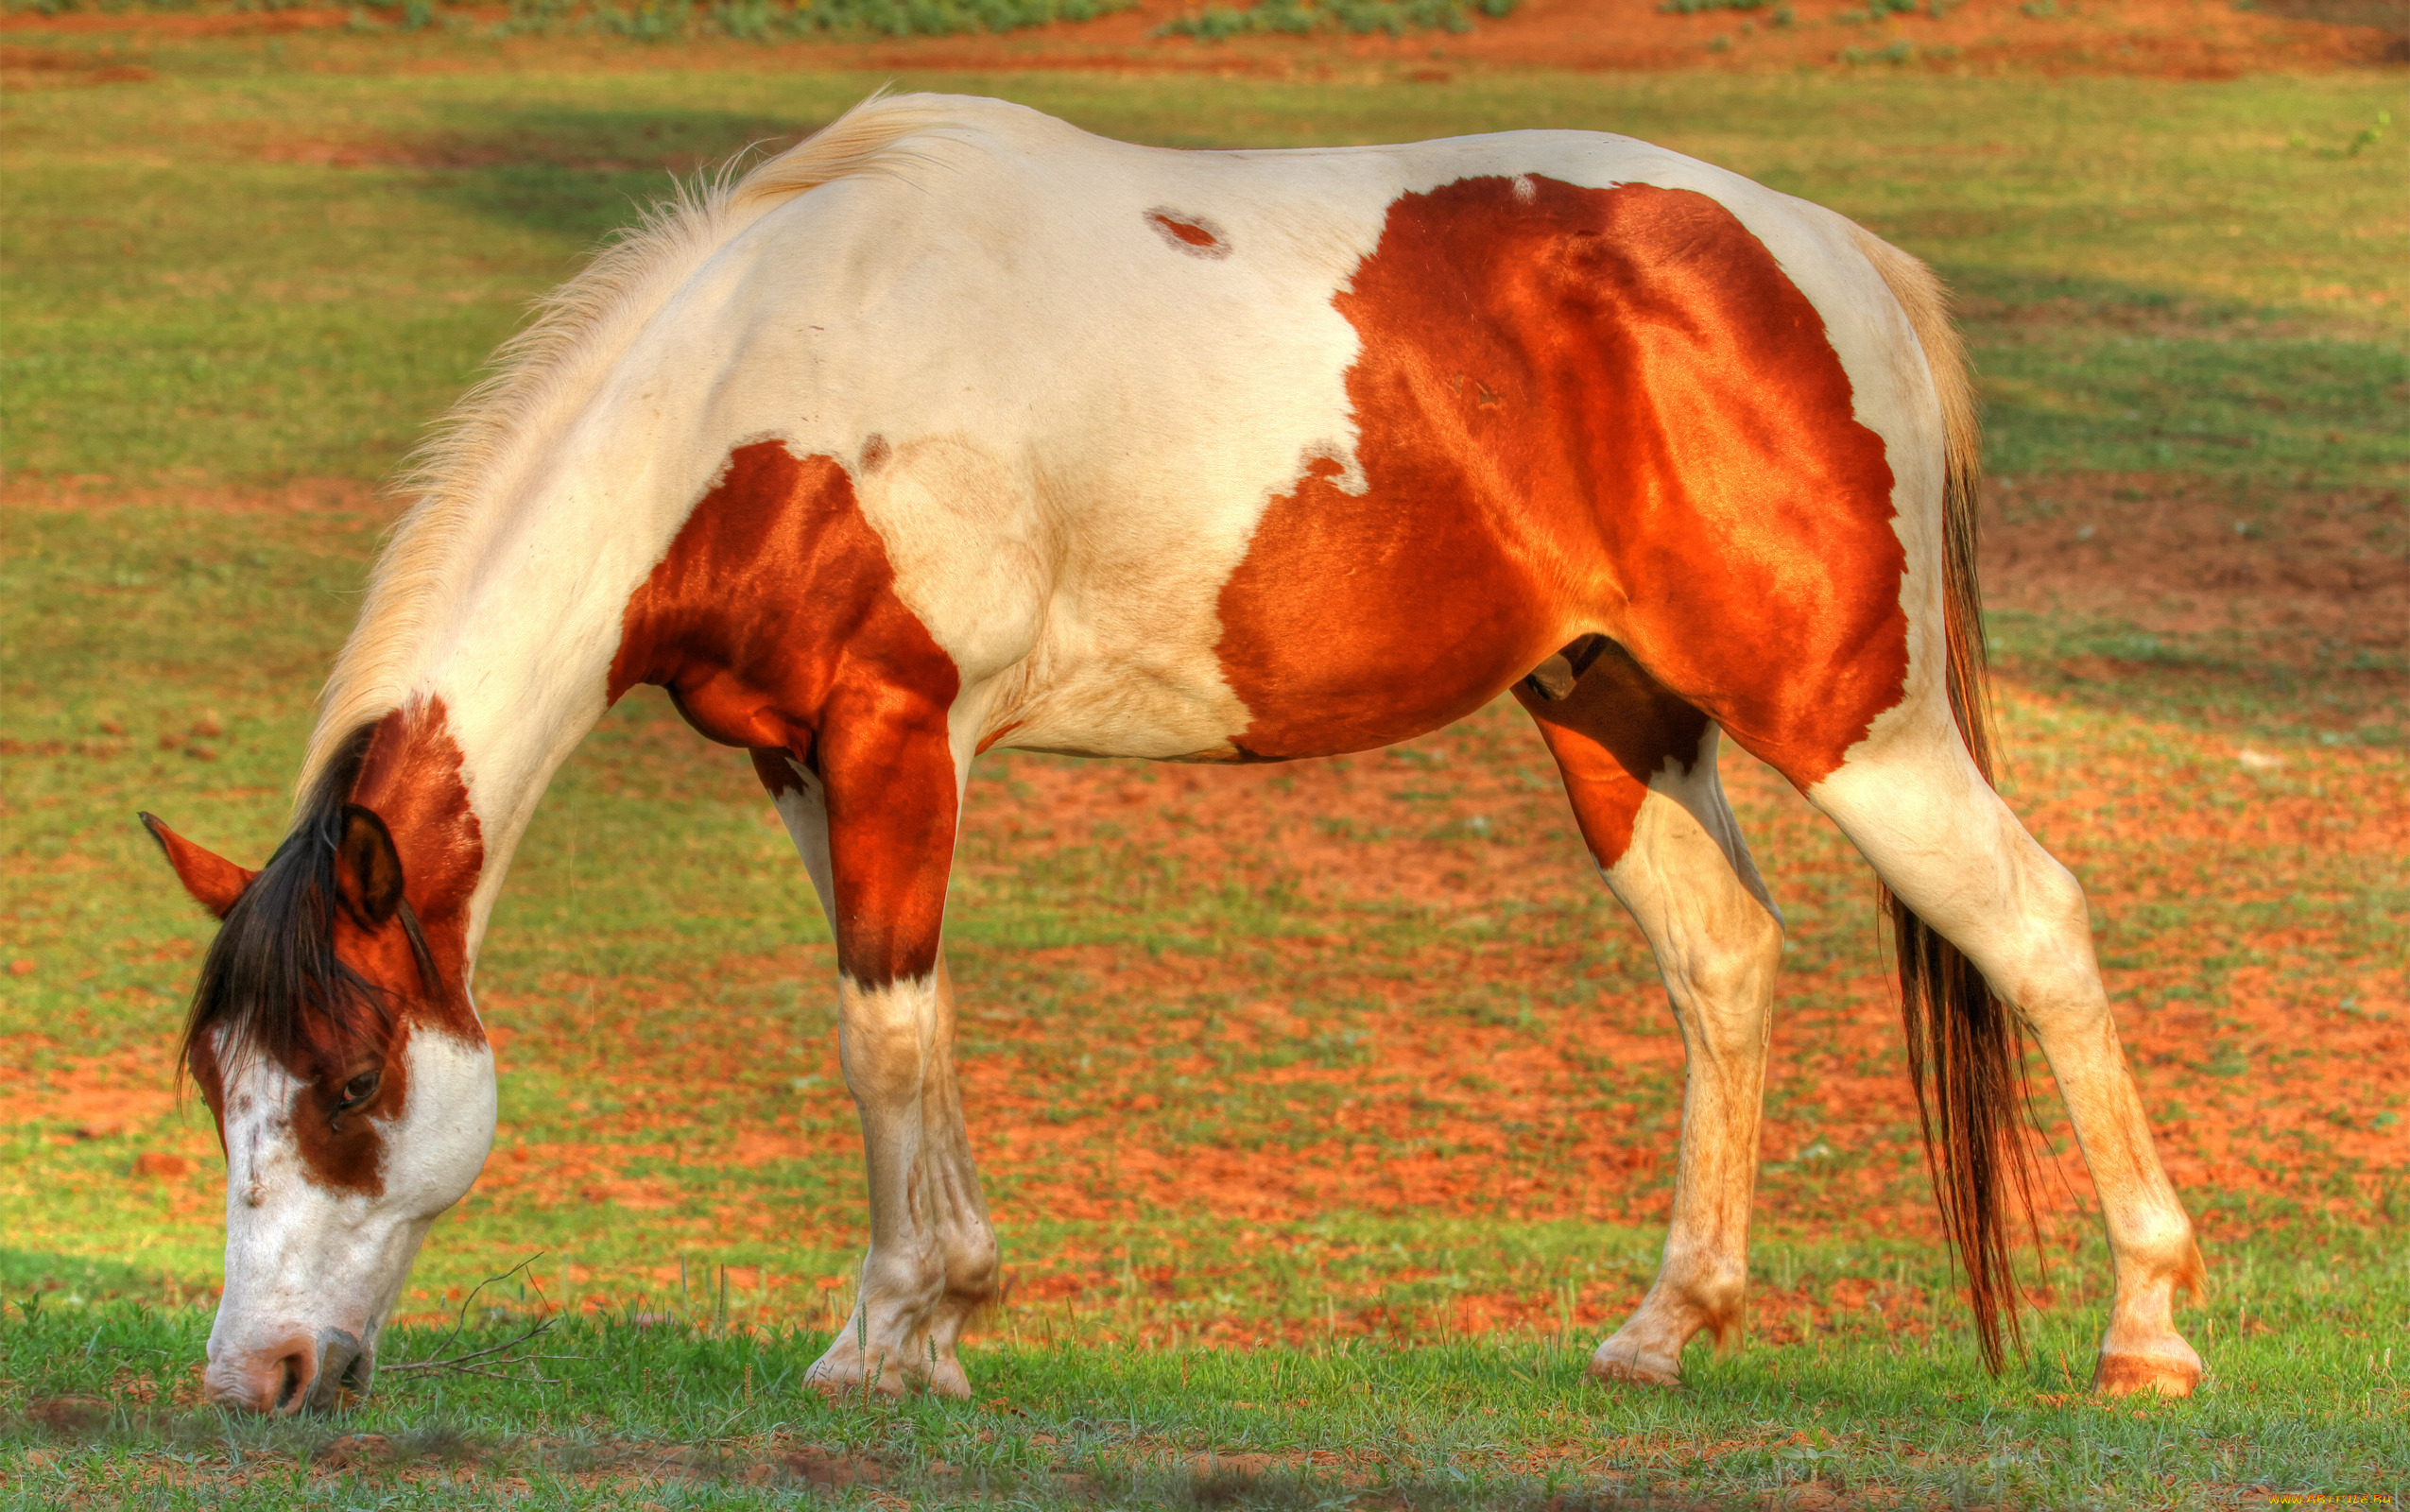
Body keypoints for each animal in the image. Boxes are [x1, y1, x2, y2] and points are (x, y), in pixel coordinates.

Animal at [141, 91, 2206, 1413]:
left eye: (346, 1079)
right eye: (219, 1092)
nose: (256, 1374)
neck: (768, 380)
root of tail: (1820, 254)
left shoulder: (898, 731)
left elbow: (880, 1028)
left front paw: (887, 1338)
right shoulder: (805, 760)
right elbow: (903, 1019)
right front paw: (936, 1320)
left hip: (1854, 723)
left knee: (2034, 922)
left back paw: (2149, 1335)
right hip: (1612, 713)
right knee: (1728, 963)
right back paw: (1661, 1332)